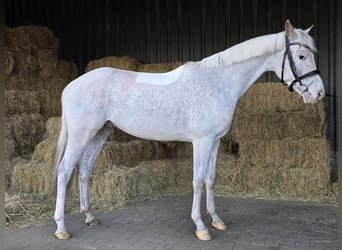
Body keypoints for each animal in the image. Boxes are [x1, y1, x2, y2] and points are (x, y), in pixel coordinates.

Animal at [50, 21, 324, 240]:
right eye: (301, 56)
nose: (319, 93)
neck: (217, 81)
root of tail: (70, 86)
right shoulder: (201, 141)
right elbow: (198, 180)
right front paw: (201, 227)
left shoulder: (215, 140)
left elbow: (211, 178)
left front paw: (217, 221)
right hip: (81, 136)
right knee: (64, 172)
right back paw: (62, 228)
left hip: (99, 134)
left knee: (84, 171)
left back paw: (89, 217)